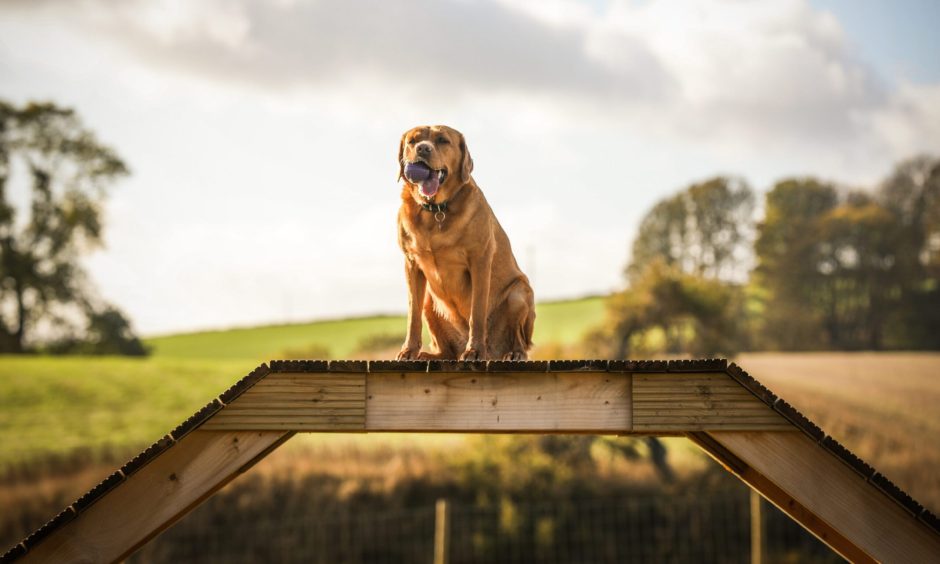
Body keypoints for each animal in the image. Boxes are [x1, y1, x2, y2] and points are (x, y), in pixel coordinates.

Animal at [392, 125, 532, 360]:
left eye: (442, 140)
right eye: (413, 141)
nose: (422, 149)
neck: (436, 210)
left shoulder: (480, 261)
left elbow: (477, 311)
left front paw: (474, 350)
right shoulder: (411, 263)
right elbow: (413, 314)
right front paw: (409, 350)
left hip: (519, 293)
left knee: (521, 340)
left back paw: (513, 353)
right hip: (430, 301)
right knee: (445, 351)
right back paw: (429, 355)